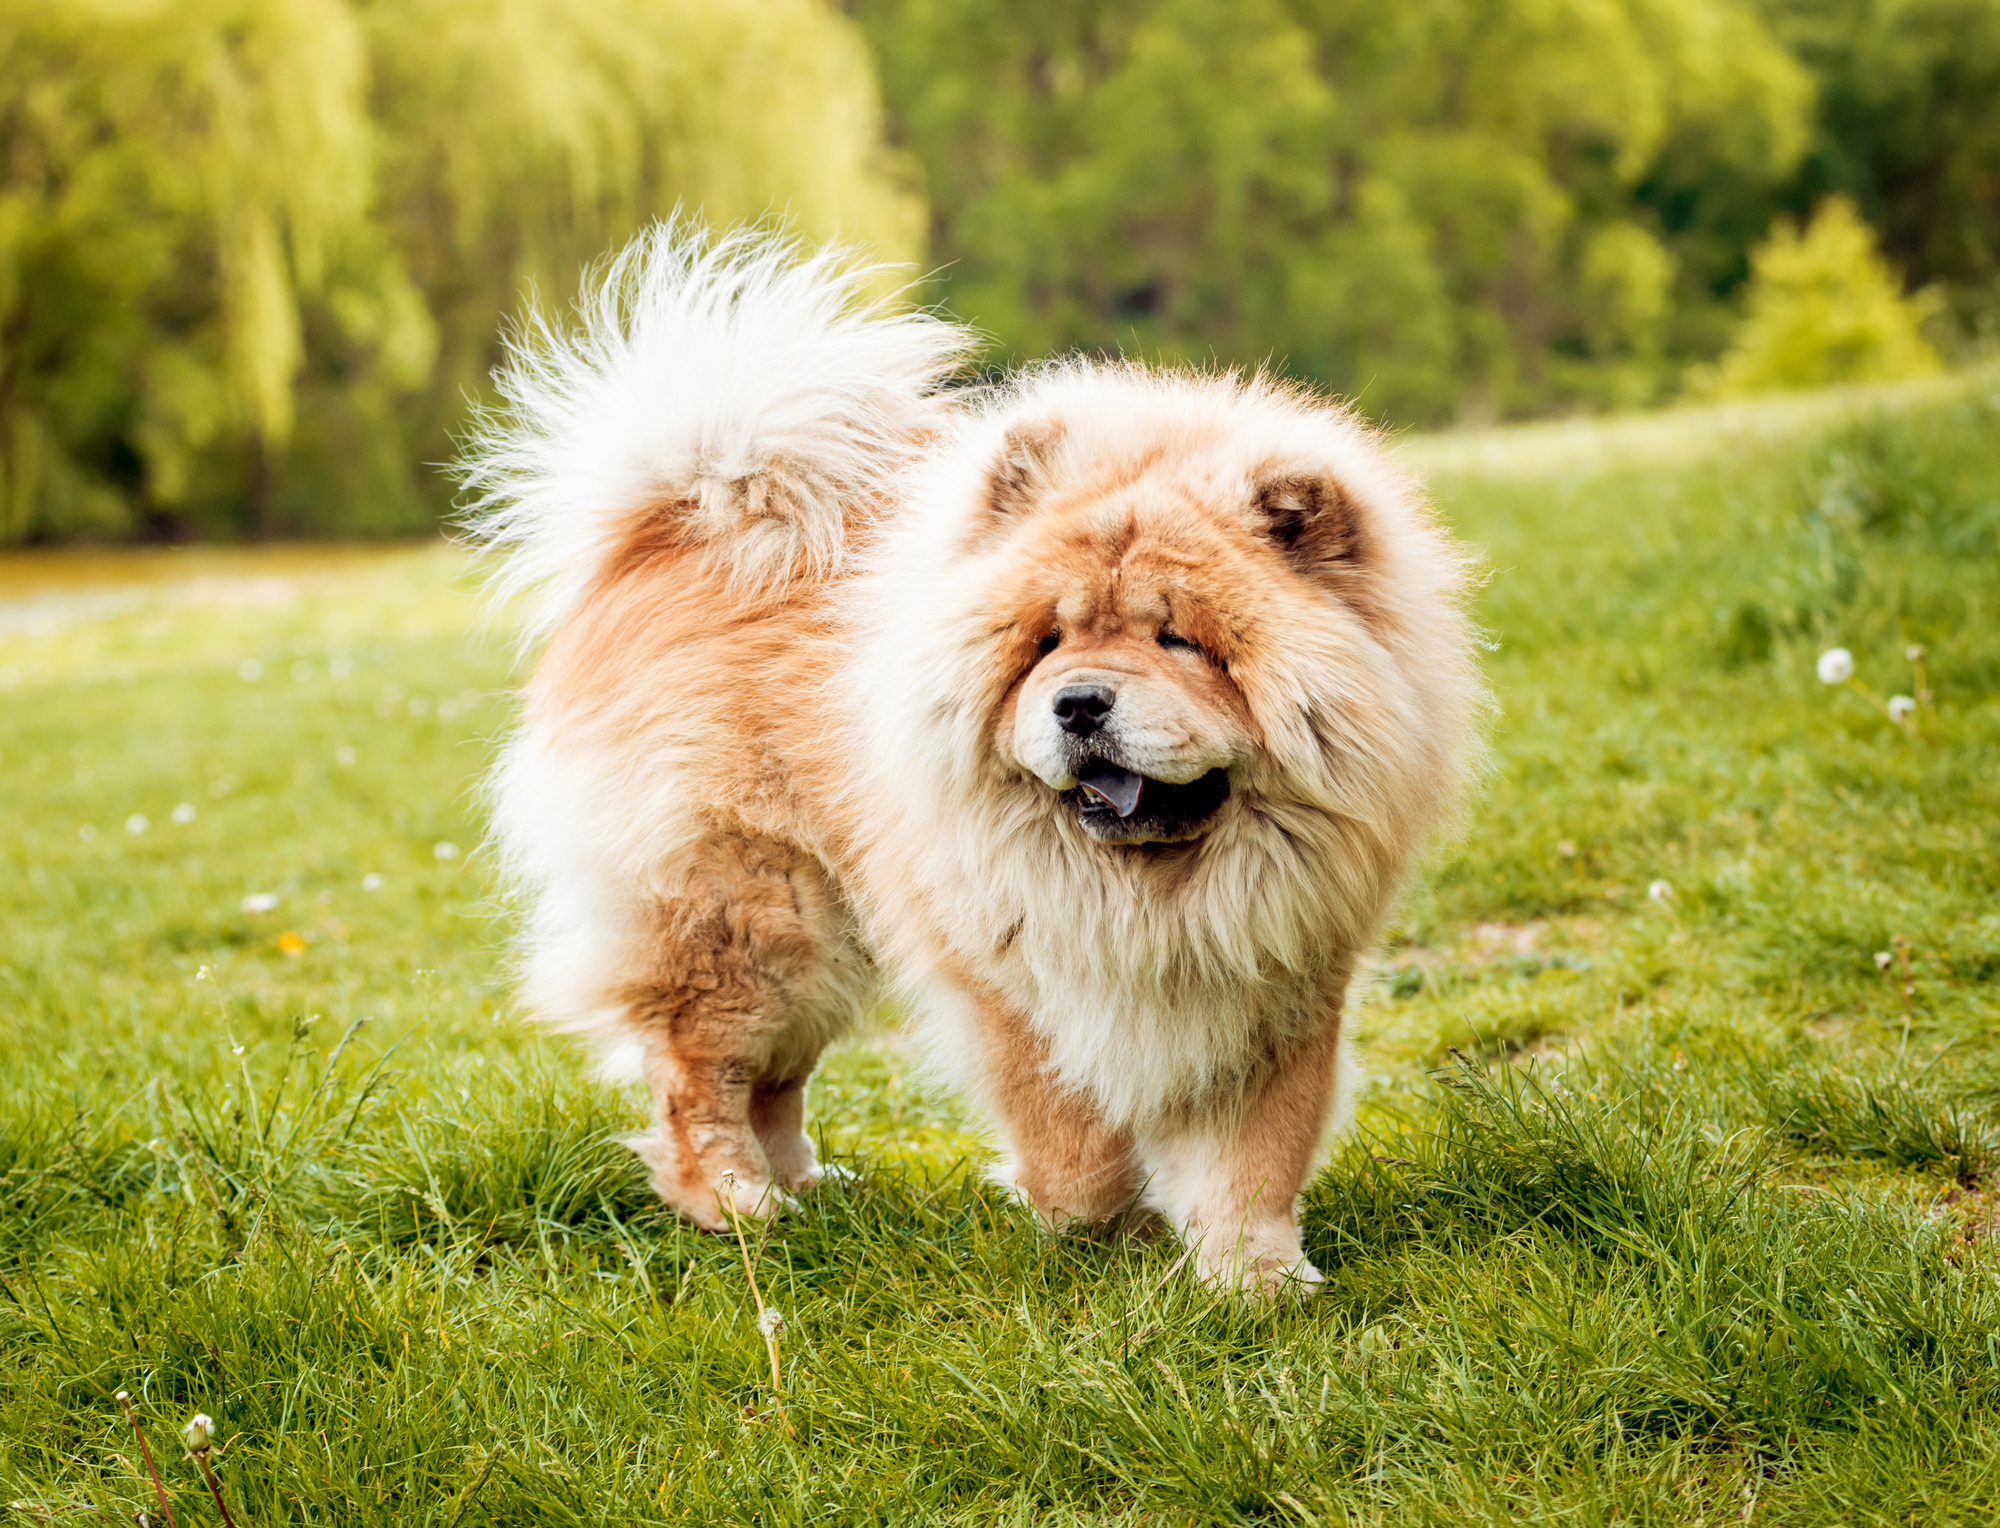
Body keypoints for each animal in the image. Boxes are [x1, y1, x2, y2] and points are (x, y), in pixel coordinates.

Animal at [460, 224, 1480, 1288]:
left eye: (1180, 641)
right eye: (1047, 642)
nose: (1079, 702)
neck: (1156, 897)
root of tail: (682, 516)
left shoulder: (1281, 981)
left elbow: (1255, 1155)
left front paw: (1253, 1281)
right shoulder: (1014, 988)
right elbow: (1075, 1139)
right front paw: (1101, 1235)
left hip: (826, 936)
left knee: (775, 1081)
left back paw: (812, 1194)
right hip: (753, 918)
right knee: (702, 1073)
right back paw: (741, 1208)